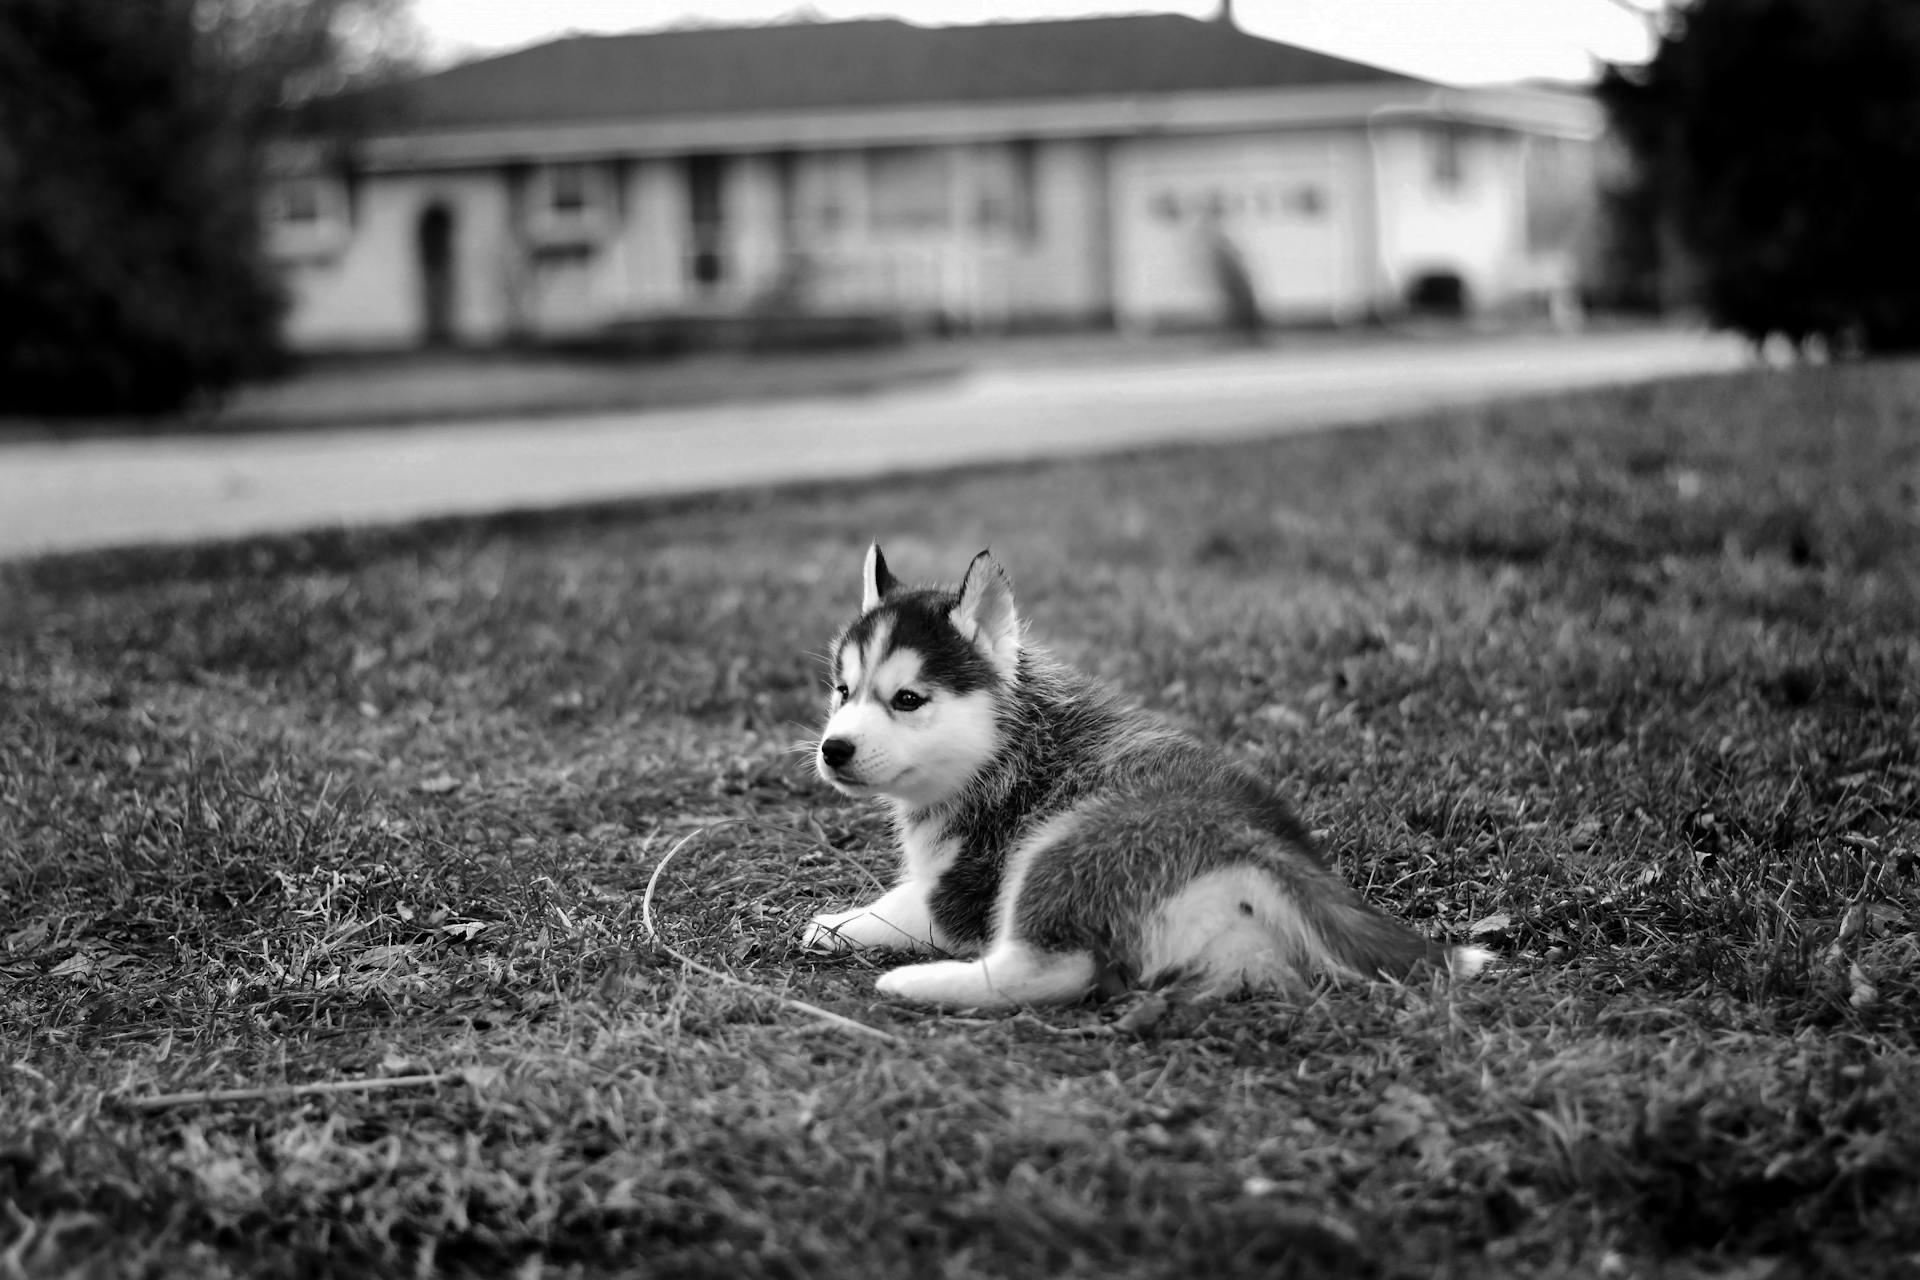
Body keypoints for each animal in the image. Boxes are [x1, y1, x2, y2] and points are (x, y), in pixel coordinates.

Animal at [794, 545, 1482, 1005]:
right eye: (843, 691)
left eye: (907, 700)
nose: (833, 749)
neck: (1004, 747)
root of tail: (1266, 843)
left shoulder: (969, 886)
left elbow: (902, 904)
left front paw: (833, 923)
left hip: (1066, 846)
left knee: (1055, 967)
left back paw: (911, 982)